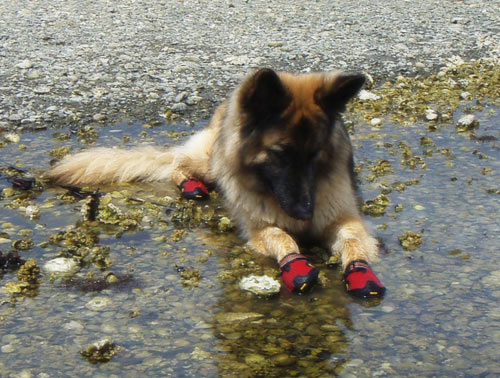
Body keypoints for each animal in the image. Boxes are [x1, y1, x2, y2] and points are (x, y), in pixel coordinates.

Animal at [45, 68, 384, 298]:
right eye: (280, 153)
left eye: (315, 154)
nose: (304, 213)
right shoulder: (260, 227)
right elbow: (282, 238)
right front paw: (296, 264)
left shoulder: (343, 217)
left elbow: (353, 243)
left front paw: (362, 275)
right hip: (210, 163)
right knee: (178, 165)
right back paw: (191, 187)